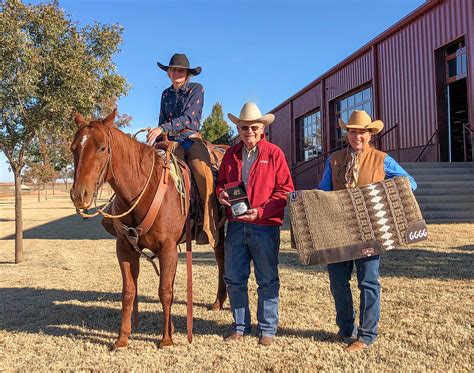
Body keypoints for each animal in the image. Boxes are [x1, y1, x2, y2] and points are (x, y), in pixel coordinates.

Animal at [69, 109, 227, 348]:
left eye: (102, 148)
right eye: (73, 148)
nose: (79, 194)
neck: (143, 188)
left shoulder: (168, 248)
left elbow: (165, 291)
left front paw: (167, 339)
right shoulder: (125, 249)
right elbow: (129, 291)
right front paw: (122, 338)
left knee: (222, 258)